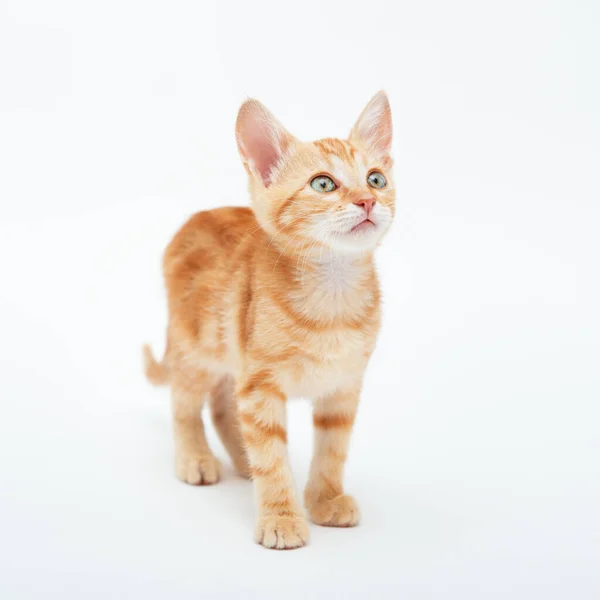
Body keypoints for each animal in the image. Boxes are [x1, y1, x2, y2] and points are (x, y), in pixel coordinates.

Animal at [142, 90, 394, 548]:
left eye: (376, 179)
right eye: (323, 184)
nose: (368, 201)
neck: (333, 295)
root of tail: (196, 217)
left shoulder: (344, 385)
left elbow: (332, 449)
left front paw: (325, 500)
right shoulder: (260, 385)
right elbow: (271, 454)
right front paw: (281, 517)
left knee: (223, 405)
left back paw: (242, 458)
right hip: (198, 348)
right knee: (185, 402)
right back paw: (196, 457)